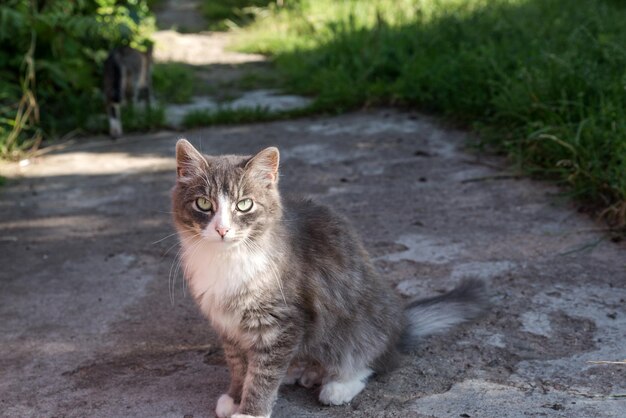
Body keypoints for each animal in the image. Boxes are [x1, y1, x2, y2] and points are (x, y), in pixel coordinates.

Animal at [172, 139, 488, 416]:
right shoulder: (229, 326)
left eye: (244, 205)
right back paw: (302, 371)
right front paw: (235, 397)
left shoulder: (281, 324)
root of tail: (401, 327)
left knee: (371, 360)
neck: (228, 259)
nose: (222, 230)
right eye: (203, 203)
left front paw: (250, 412)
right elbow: (239, 366)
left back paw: (337, 386)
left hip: (358, 326)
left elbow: (262, 375)